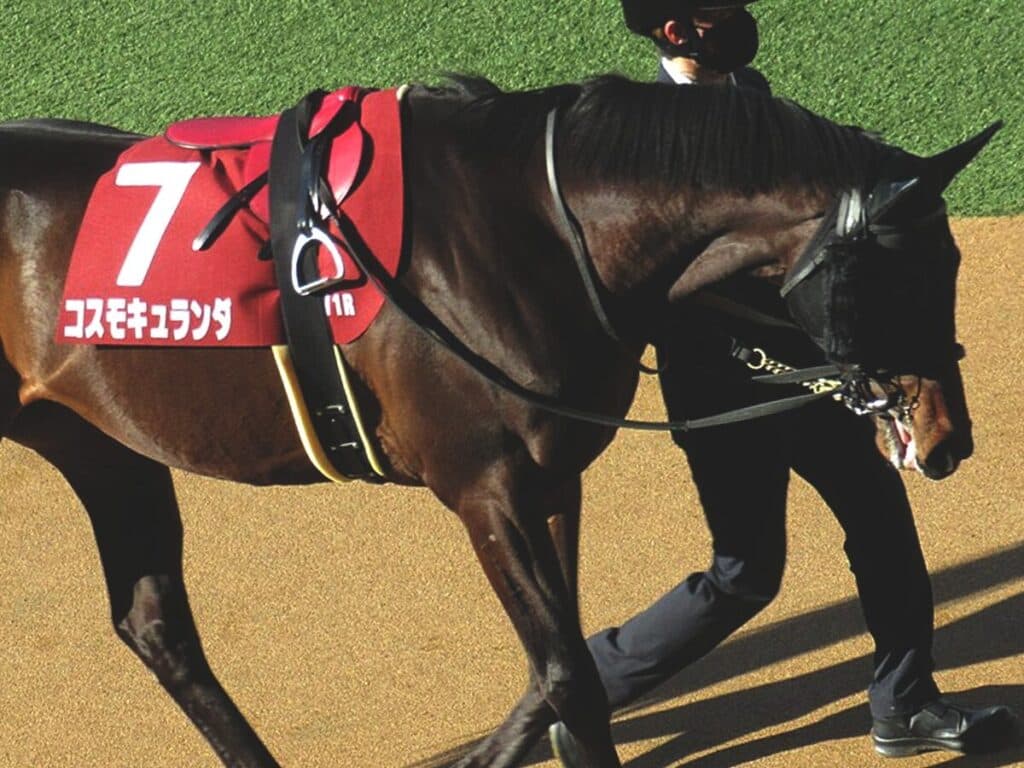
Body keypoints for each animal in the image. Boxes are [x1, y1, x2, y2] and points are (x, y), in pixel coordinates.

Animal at [0, 75, 997, 768]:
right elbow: (567, 679)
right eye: (902, 277)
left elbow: (561, 672)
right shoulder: (486, 489)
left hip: (99, 441)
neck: (532, 232)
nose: (949, 439)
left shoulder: (552, 478)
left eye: (953, 263)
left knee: (155, 625)